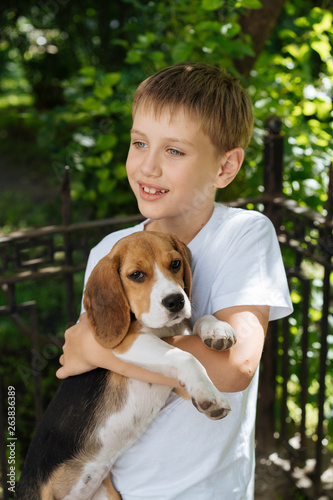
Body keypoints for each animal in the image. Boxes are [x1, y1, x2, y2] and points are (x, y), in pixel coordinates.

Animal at [16, 232, 236, 498]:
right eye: (136, 275)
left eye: (175, 264)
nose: (175, 301)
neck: (163, 329)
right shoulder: (127, 344)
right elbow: (184, 356)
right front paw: (211, 396)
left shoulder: (177, 385)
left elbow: (198, 322)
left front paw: (216, 329)